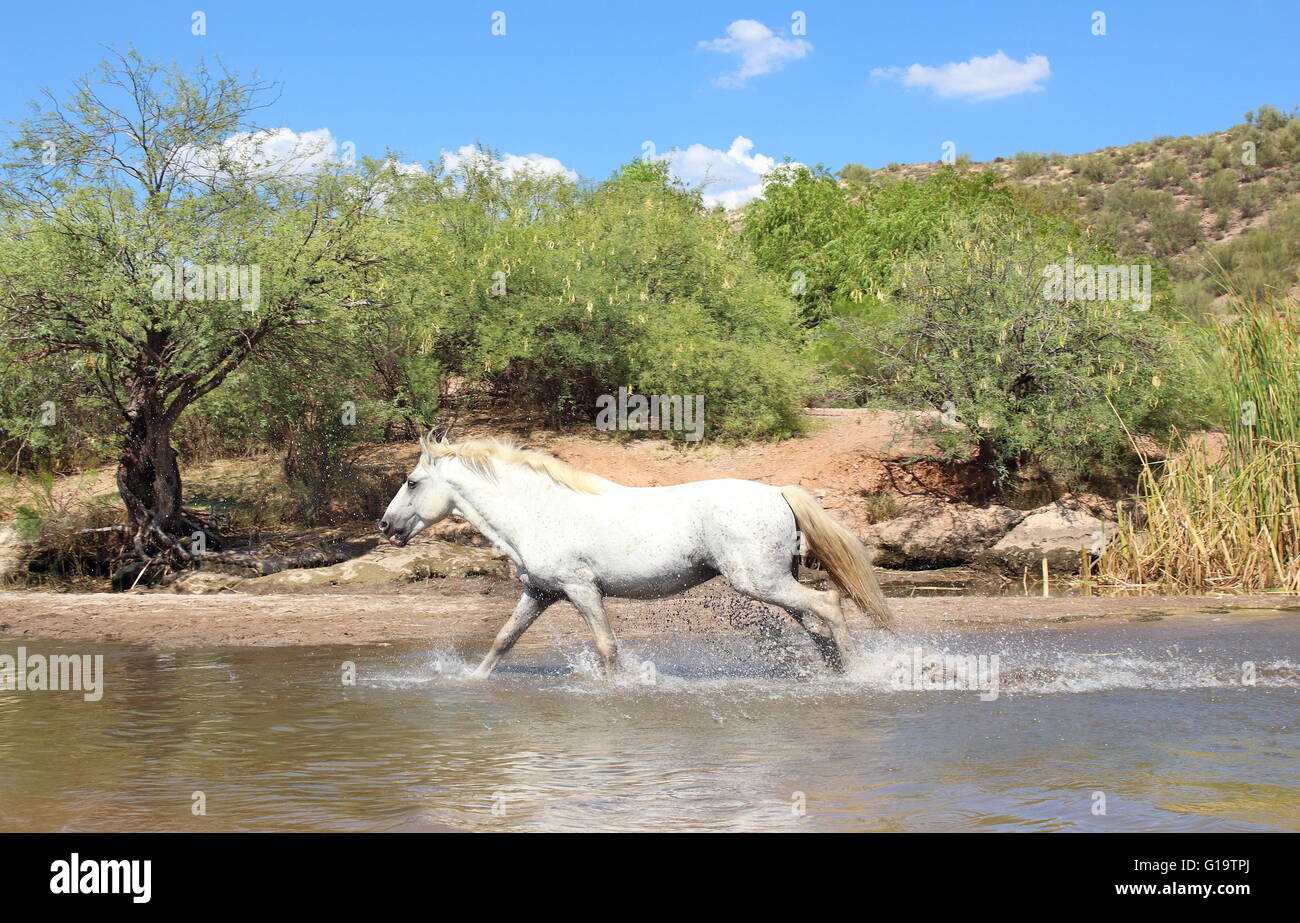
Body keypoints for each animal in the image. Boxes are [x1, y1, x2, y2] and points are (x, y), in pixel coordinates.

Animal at [379, 434, 899, 681]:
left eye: (411, 481)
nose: (385, 526)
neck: (538, 510)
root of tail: (778, 493)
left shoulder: (581, 590)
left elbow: (607, 646)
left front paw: (619, 688)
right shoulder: (541, 592)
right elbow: (503, 641)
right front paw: (471, 680)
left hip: (760, 583)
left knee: (830, 606)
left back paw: (859, 675)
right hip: (774, 583)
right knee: (817, 625)